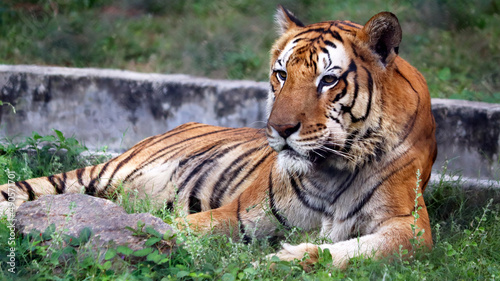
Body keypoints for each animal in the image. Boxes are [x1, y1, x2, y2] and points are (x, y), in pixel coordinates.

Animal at [0, 6, 436, 268]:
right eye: (281, 74)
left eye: (328, 80)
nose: (279, 129)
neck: (330, 169)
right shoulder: (239, 214)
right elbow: (169, 230)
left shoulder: (410, 227)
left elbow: (353, 252)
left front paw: (283, 262)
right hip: (100, 175)